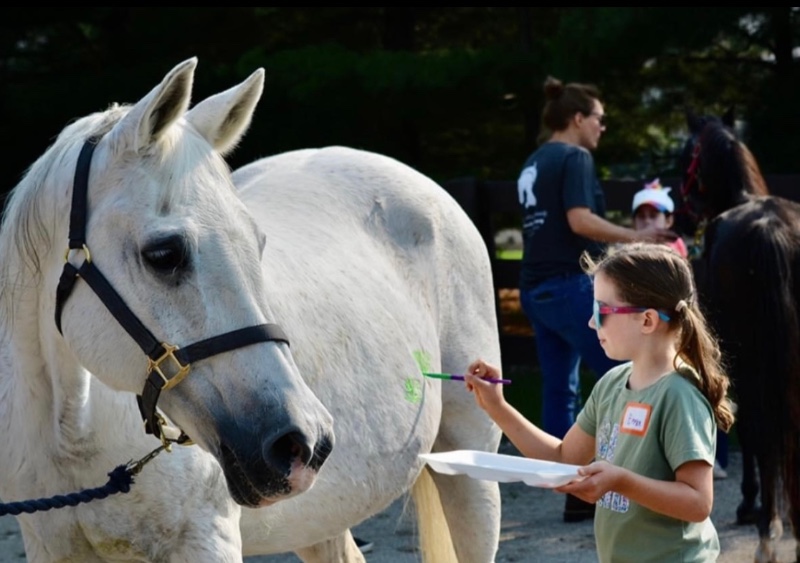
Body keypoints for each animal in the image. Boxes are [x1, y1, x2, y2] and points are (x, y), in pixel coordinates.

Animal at [0, 58, 500, 563]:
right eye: (163, 254)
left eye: (258, 243)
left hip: (471, 471)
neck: (74, 434)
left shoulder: (207, 539)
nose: (303, 440)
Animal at [680, 111, 800, 563]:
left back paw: (767, 530)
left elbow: (745, 427)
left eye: (685, 154)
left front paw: (752, 505)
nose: (681, 220)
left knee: (763, 429)